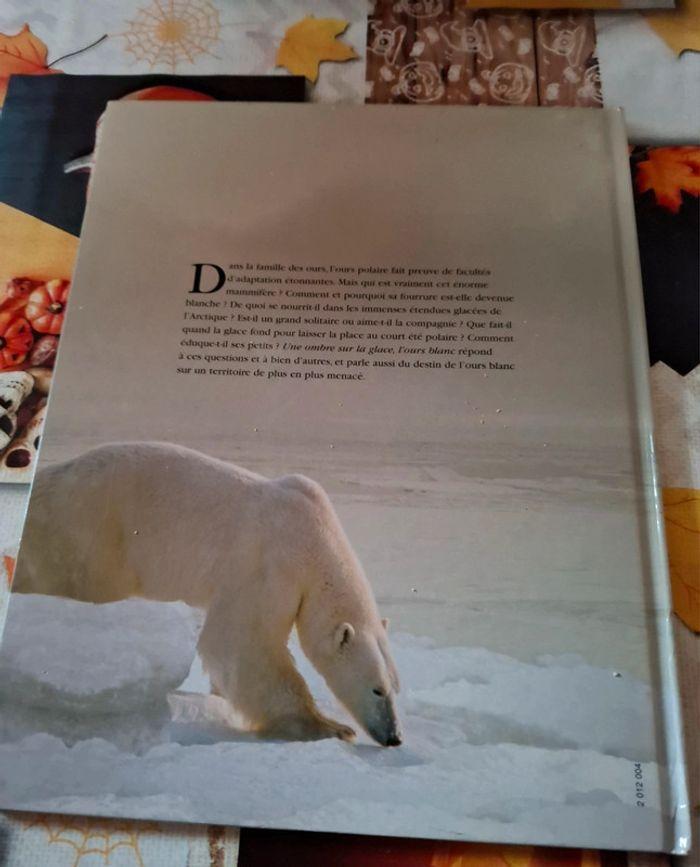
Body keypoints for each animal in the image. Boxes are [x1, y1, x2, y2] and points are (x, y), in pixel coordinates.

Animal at [10, 440, 402, 744]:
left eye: (395, 688)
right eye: (376, 689)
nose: (394, 737)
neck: (315, 539)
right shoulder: (268, 564)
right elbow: (242, 640)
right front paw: (328, 726)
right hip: (93, 534)